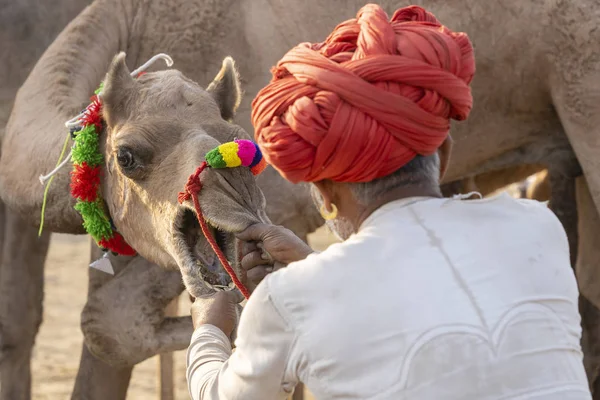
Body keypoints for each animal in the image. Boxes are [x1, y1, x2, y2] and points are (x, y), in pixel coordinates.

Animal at [1, 0, 600, 398]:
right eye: (127, 156)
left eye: (241, 140)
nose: (237, 191)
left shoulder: (286, 200)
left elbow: (108, 321)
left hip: (581, 88)